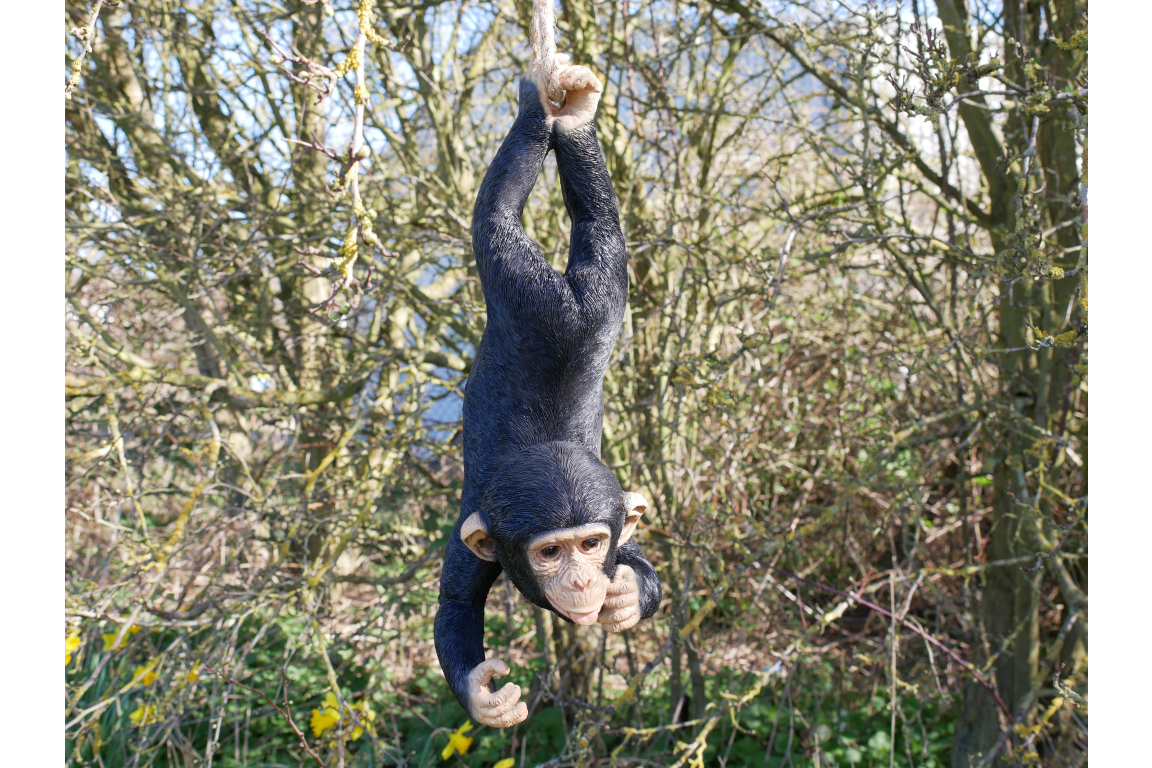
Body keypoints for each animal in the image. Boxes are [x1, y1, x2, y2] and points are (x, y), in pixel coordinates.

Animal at [433, 54, 662, 728]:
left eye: (591, 544)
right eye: (551, 553)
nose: (585, 581)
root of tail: (562, 305)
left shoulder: (611, 511)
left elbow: (638, 555)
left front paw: (626, 595)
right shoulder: (476, 544)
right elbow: (454, 607)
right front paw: (482, 693)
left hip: (572, 289)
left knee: (545, 216)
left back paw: (557, 110)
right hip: (545, 282)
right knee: (511, 216)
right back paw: (557, 111)